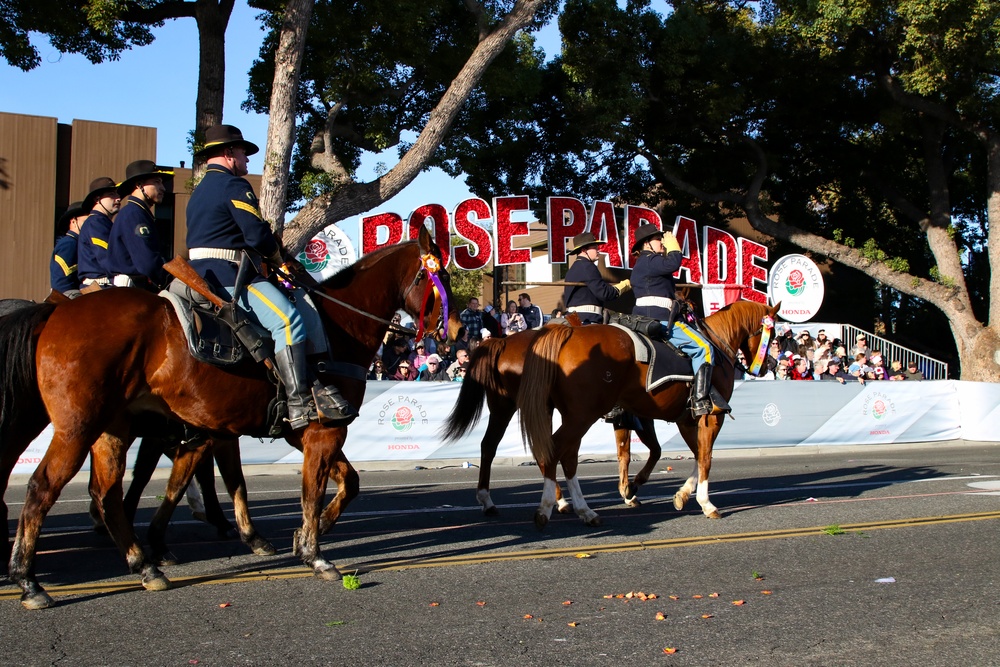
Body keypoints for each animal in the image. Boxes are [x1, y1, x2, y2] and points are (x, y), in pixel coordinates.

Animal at [1, 227, 458, 608]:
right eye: (438, 279)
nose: (452, 332)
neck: (337, 327)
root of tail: (55, 314)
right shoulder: (320, 432)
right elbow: (310, 491)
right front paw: (314, 554)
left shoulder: (296, 434)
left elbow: (347, 484)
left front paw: (302, 536)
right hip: (77, 428)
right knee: (43, 488)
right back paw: (28, 581)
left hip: (112, 429)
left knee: (108, 494)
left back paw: (144, 566)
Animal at [442, 326, 660, 516]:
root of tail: (502, 342)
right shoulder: (639, 416)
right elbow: (650, 450)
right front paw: (629, 490)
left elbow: (625, 453)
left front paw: (627, 492)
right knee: (544, 450)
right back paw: (561, 501)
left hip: (504, 407)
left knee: (490, 446)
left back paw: (488, 502)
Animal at [516, 300, 780, 528]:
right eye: (773, 332)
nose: (771, 365)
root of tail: (567, 333)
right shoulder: (712, 417)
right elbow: (705, 457)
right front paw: (706, 503)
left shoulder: (684, 420)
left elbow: (691, 454)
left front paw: (679, 494)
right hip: (582, 416)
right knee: (556, 452)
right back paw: (550, 507)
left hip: (568, 415)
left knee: (564, 455)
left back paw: (583, 510)